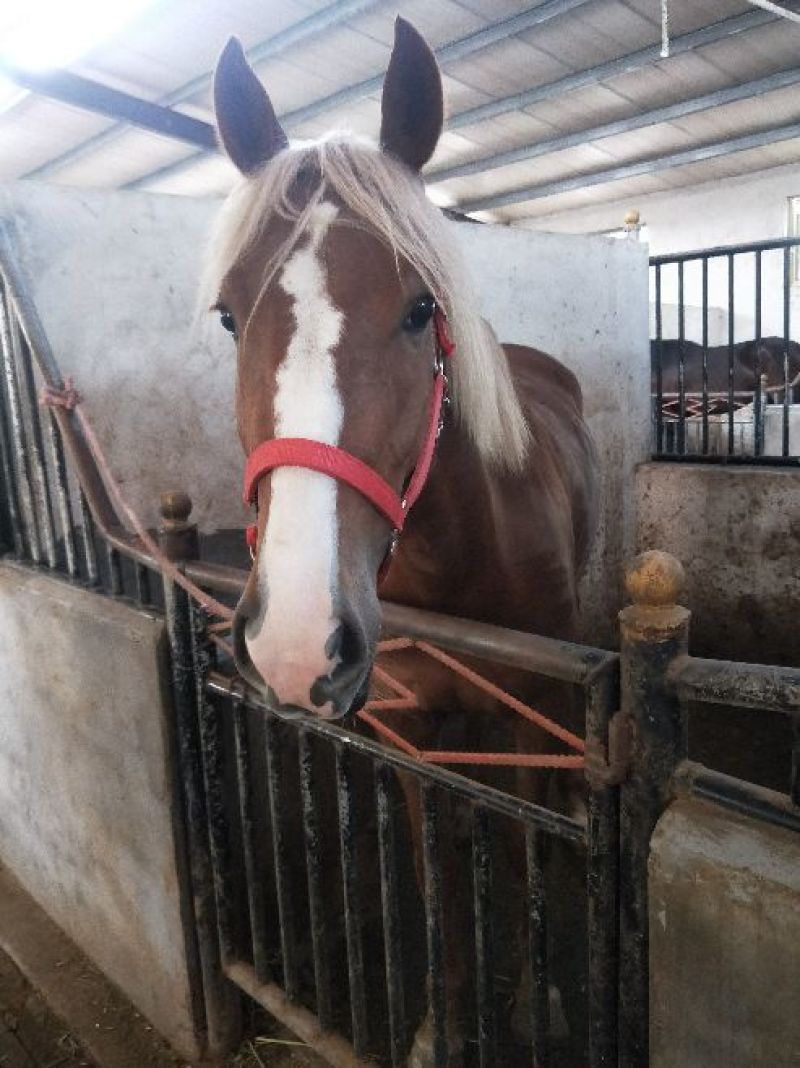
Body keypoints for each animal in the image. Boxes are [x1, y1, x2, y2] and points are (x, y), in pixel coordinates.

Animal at [204, 18, 599, 1065]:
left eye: (421, 309)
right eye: (228, 316)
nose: (294, 641)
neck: (459, 554)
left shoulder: (532, 720)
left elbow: (522, 849)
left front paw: (536, 1005)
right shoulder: (414, 730)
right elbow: (436, 868)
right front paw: (442, 1023)